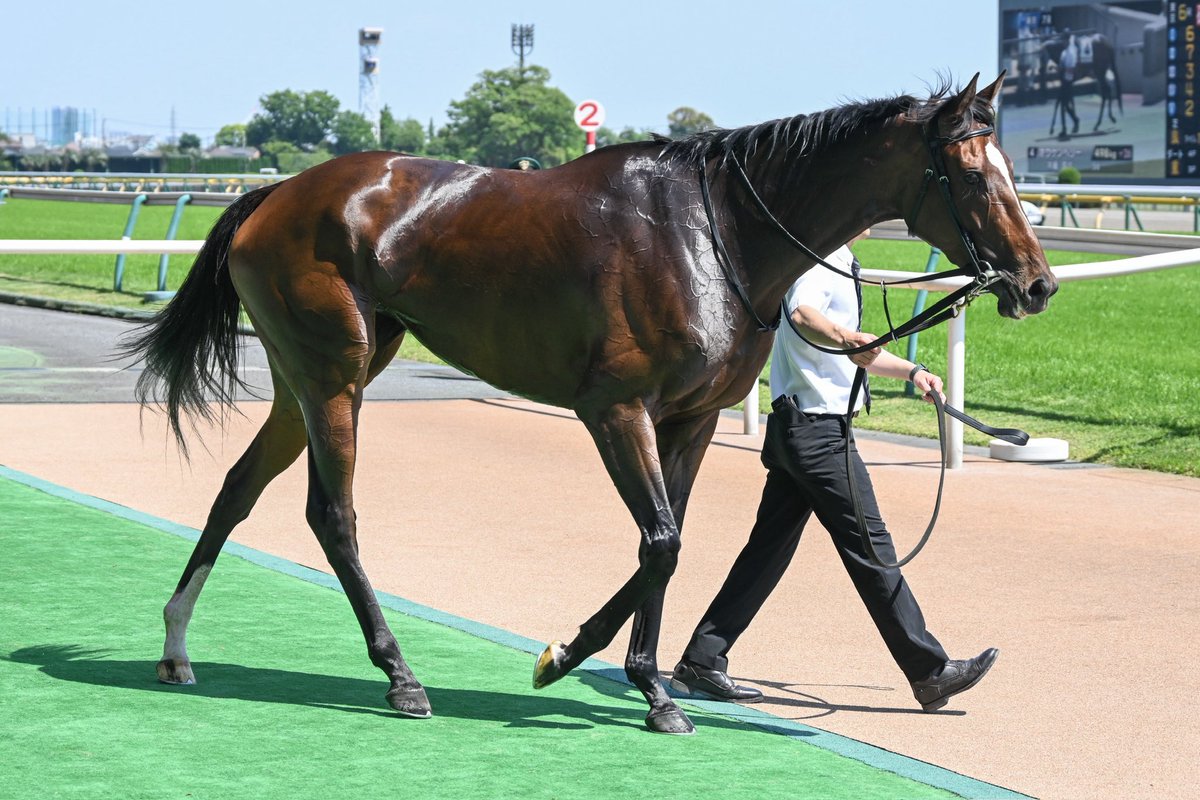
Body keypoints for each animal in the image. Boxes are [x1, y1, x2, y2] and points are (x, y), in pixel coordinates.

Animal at [123, 72, 1055, 735]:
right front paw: (595, 665)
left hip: (306, 380)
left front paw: (620, 673)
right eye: (972, 173)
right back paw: (400, 677)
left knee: (238, 489)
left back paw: (174, 644)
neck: (712, 235)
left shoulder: (691, 419)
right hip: (336, 377)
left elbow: (668, 542)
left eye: (1014, 170)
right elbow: (661, 541)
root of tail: (270, 196)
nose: (1038, 284)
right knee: (333, 515)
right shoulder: (616, 410)